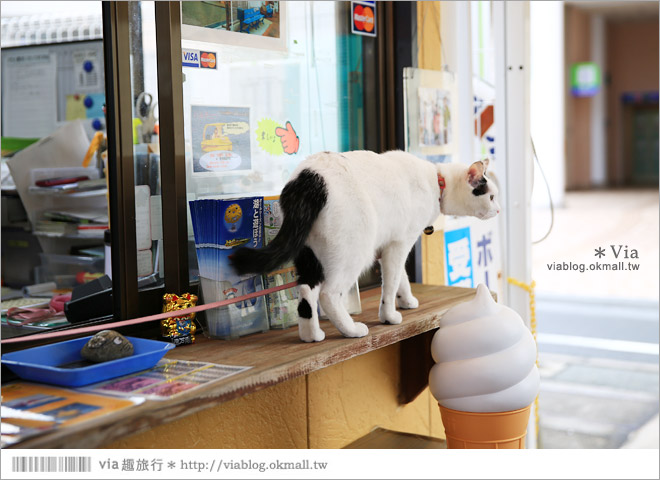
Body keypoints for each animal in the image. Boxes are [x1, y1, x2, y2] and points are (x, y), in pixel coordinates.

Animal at [229, 150, 498, 342]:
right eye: (492, 196)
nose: (498, 210)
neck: (437, 180)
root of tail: (309, 179)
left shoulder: (390, 245)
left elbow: (400, 277)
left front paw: (406, 299)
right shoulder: (400, 243)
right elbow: (390, 284)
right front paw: (389, 316)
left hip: (309, 253)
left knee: (306, 290)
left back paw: (311, 335)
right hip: (355, 250)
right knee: (328, 294)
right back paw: (351, 330)